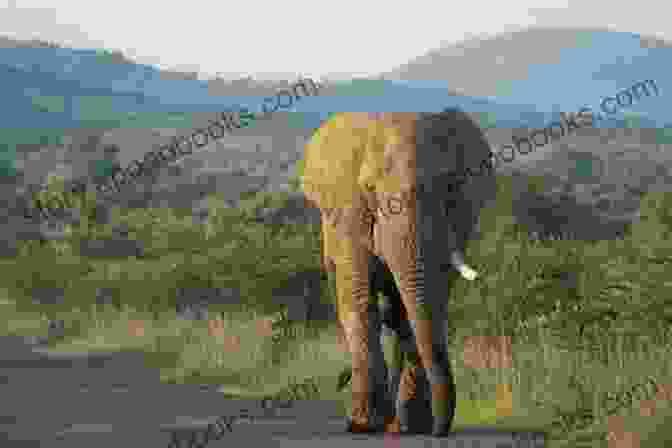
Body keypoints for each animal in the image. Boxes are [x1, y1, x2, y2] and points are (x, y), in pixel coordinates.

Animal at [302, 110, 496, 436]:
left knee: (397, 311)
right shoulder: (350, 218)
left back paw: (398, 425)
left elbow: (422, 306)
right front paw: (363, 425)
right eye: (369, 189)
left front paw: (410, 426)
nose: (440, 431)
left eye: (449, 186)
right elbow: (360, 301)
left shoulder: (459, 219)